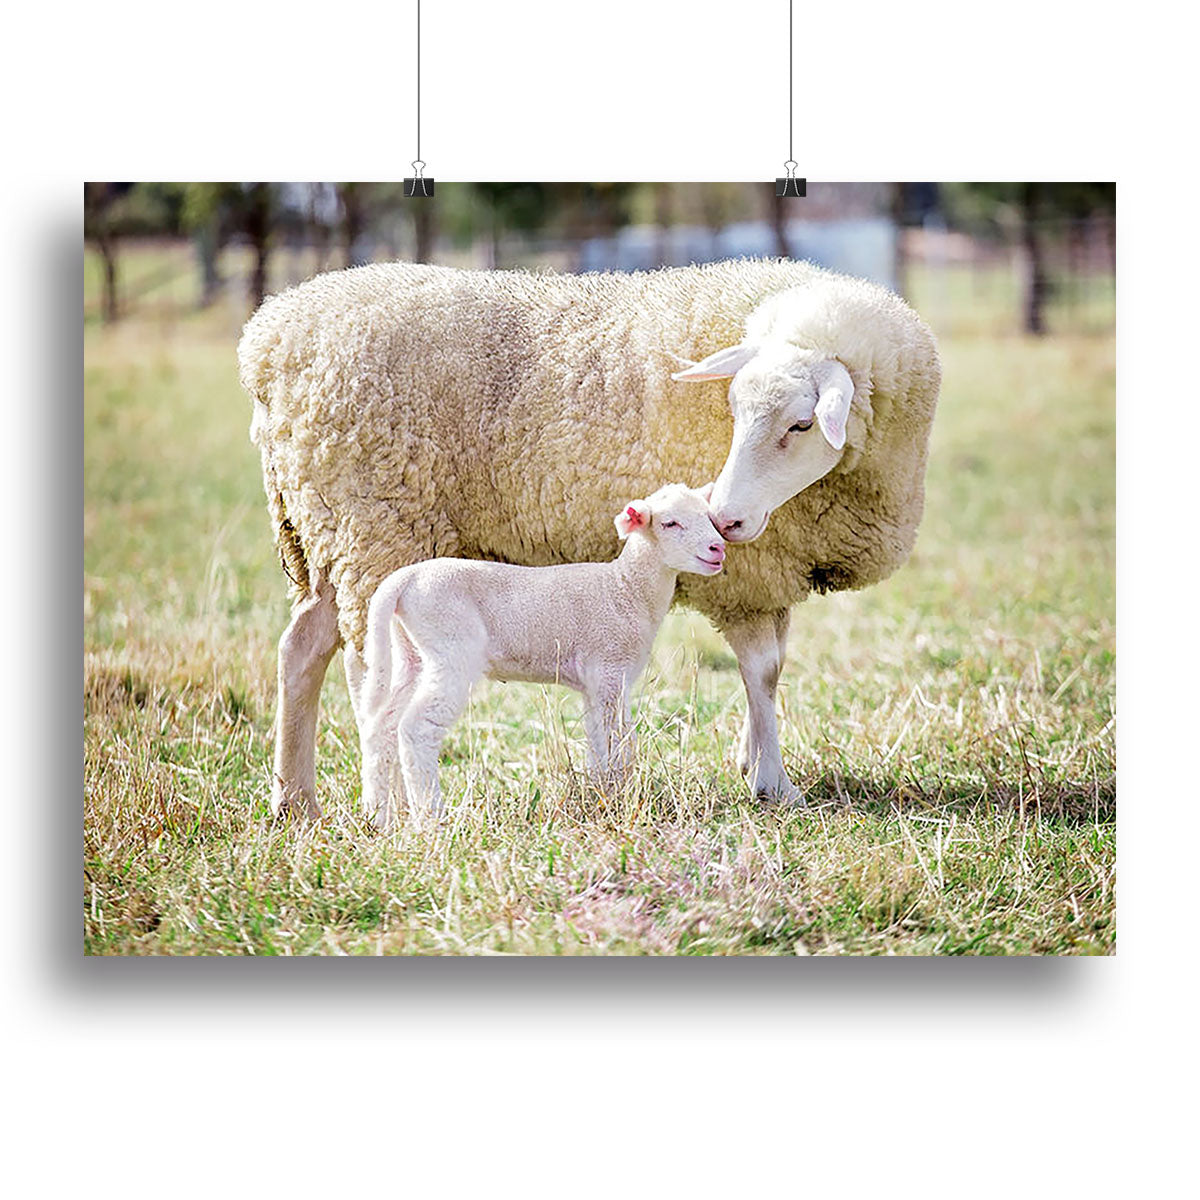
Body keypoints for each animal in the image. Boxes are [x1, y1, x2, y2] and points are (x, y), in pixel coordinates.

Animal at [359, 483, 726, 828]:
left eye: (708, 517)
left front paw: (599, 796)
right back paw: (430, 817)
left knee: (382, 726)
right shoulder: (610, 670)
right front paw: (622, 798)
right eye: (669, 523)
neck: (626, 588)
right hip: (450, 647)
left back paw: (379, 817)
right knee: (416, 728)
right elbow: (619, 740)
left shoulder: (595, 683)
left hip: (412, 654)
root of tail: (404, 580)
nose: (717, 548)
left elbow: (597, 740)